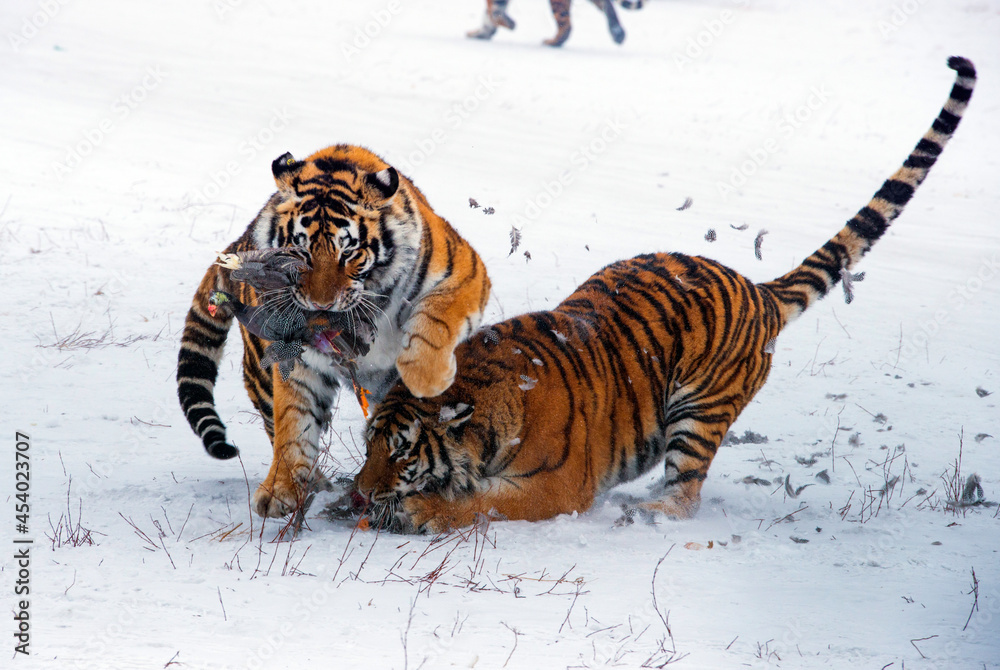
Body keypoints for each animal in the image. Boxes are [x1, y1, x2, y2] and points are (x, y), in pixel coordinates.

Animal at [177, 145, 491, 518]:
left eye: (350, 251)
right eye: (301, 251)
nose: (321, 305)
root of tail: (239, 242)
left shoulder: (465, 273)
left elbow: (437, 317)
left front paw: (426, 380)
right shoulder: (298, 354)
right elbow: (294, 420)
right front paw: (281, 490)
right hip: (262, 371)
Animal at [354, 57, 976, 533]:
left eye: (403, 451)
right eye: (368, 444)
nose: (361, 492)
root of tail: (756, 289)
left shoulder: (555, 487)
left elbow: (484, 504)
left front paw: (422, 509)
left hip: (699, 410)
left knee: (687, 487)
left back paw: (652, 511)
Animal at [468, 0, 644, 47]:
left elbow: (493, 11)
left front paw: (511, 23)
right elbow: (491, 13)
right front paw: (482, 34)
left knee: (566, 25)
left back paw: (552, 42)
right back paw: (618, 34)